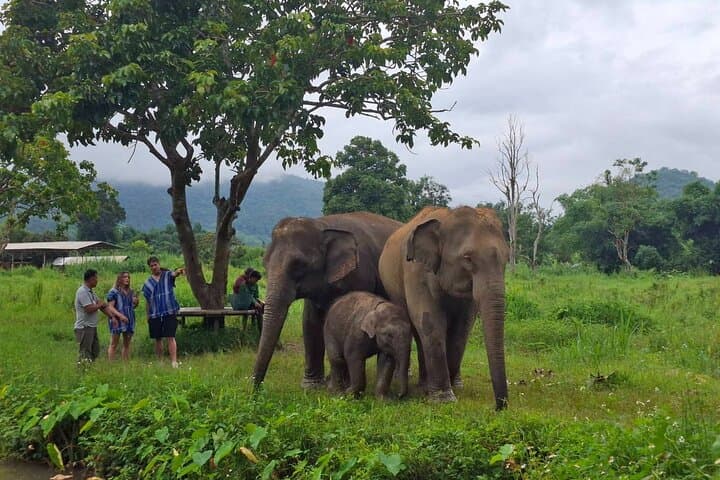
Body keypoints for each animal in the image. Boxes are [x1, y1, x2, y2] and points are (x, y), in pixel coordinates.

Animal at [253, 212, 402, 389]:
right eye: (265, 263)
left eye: (299, 264)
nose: (256, 390)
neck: (322, 225)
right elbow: (310, 322)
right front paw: (311, 387)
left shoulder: (359, 275)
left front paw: (341, 385)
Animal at [378, 206, 509, 408]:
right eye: (468, 258)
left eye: (507, 260)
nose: (498, 407)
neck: (447, 219)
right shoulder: (416, 270)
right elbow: (429, 320)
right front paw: (444, 399)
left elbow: (463, 326)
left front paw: (448, 390)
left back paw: (436, 384)